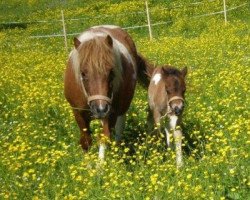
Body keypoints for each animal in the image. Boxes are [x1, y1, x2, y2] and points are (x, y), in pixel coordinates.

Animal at [64, 25, 144, 160]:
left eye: (111, 72)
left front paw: (102, 165)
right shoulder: (78, 112)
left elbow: (104, 138)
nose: (100, 108)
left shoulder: (111, 113)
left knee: (118, 130)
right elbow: (86, 141)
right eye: (83, 73)